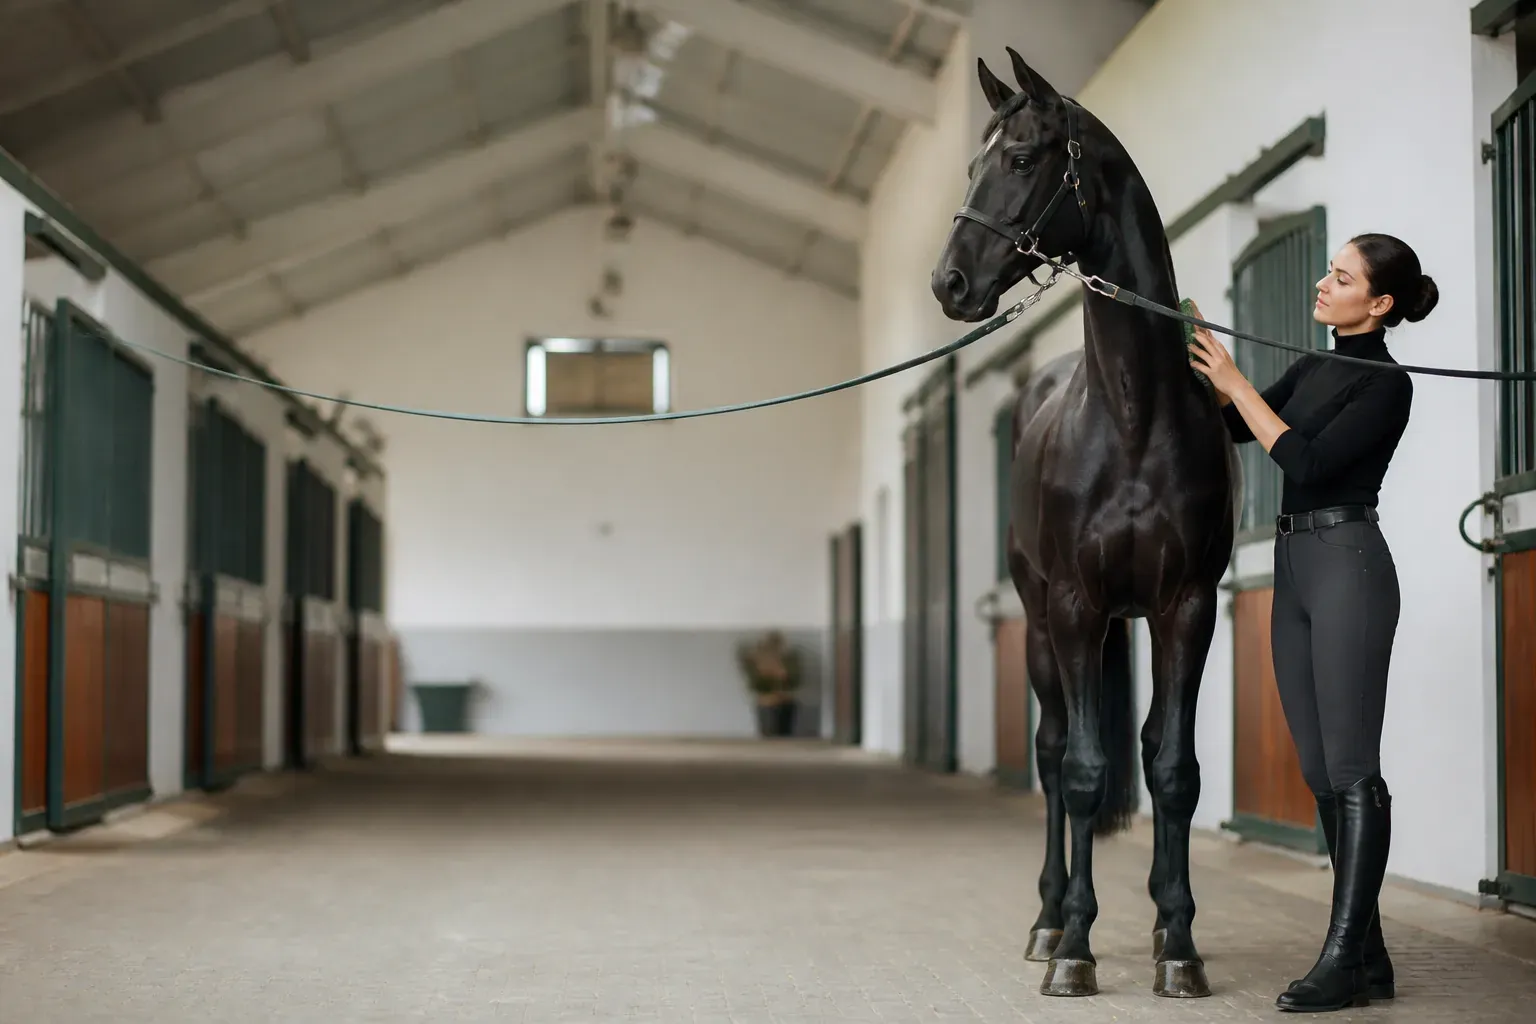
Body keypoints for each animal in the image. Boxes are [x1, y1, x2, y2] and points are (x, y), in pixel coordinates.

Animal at [931, 50, 1241, 999]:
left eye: (1023, 157)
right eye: (971, 164)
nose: (949, 284)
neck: (1133, 416)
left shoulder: (1186, 608)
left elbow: (1172, 769)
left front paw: (1179, 945)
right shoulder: (1073, 608)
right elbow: (1080, 771)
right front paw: (1073, 945)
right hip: (1042, 627)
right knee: (1051, 748)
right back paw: (1046, 920)